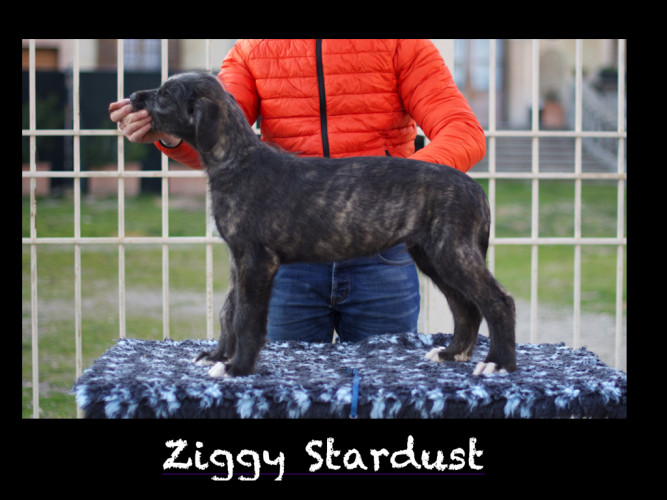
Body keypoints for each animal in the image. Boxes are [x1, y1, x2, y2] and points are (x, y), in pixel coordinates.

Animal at [129, 72, 516, 378]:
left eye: (165, 95)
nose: (133, 97)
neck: (238, 160)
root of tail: (475, 188)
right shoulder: (238, 259)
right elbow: (229, 310)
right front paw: (218, 356)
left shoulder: (257, 260)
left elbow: (247, 317)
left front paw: (237, 368)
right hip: (431, 255)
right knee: (465, 305)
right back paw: (452, 353)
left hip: (452, 250)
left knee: (497, 301)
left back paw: (498, 362)